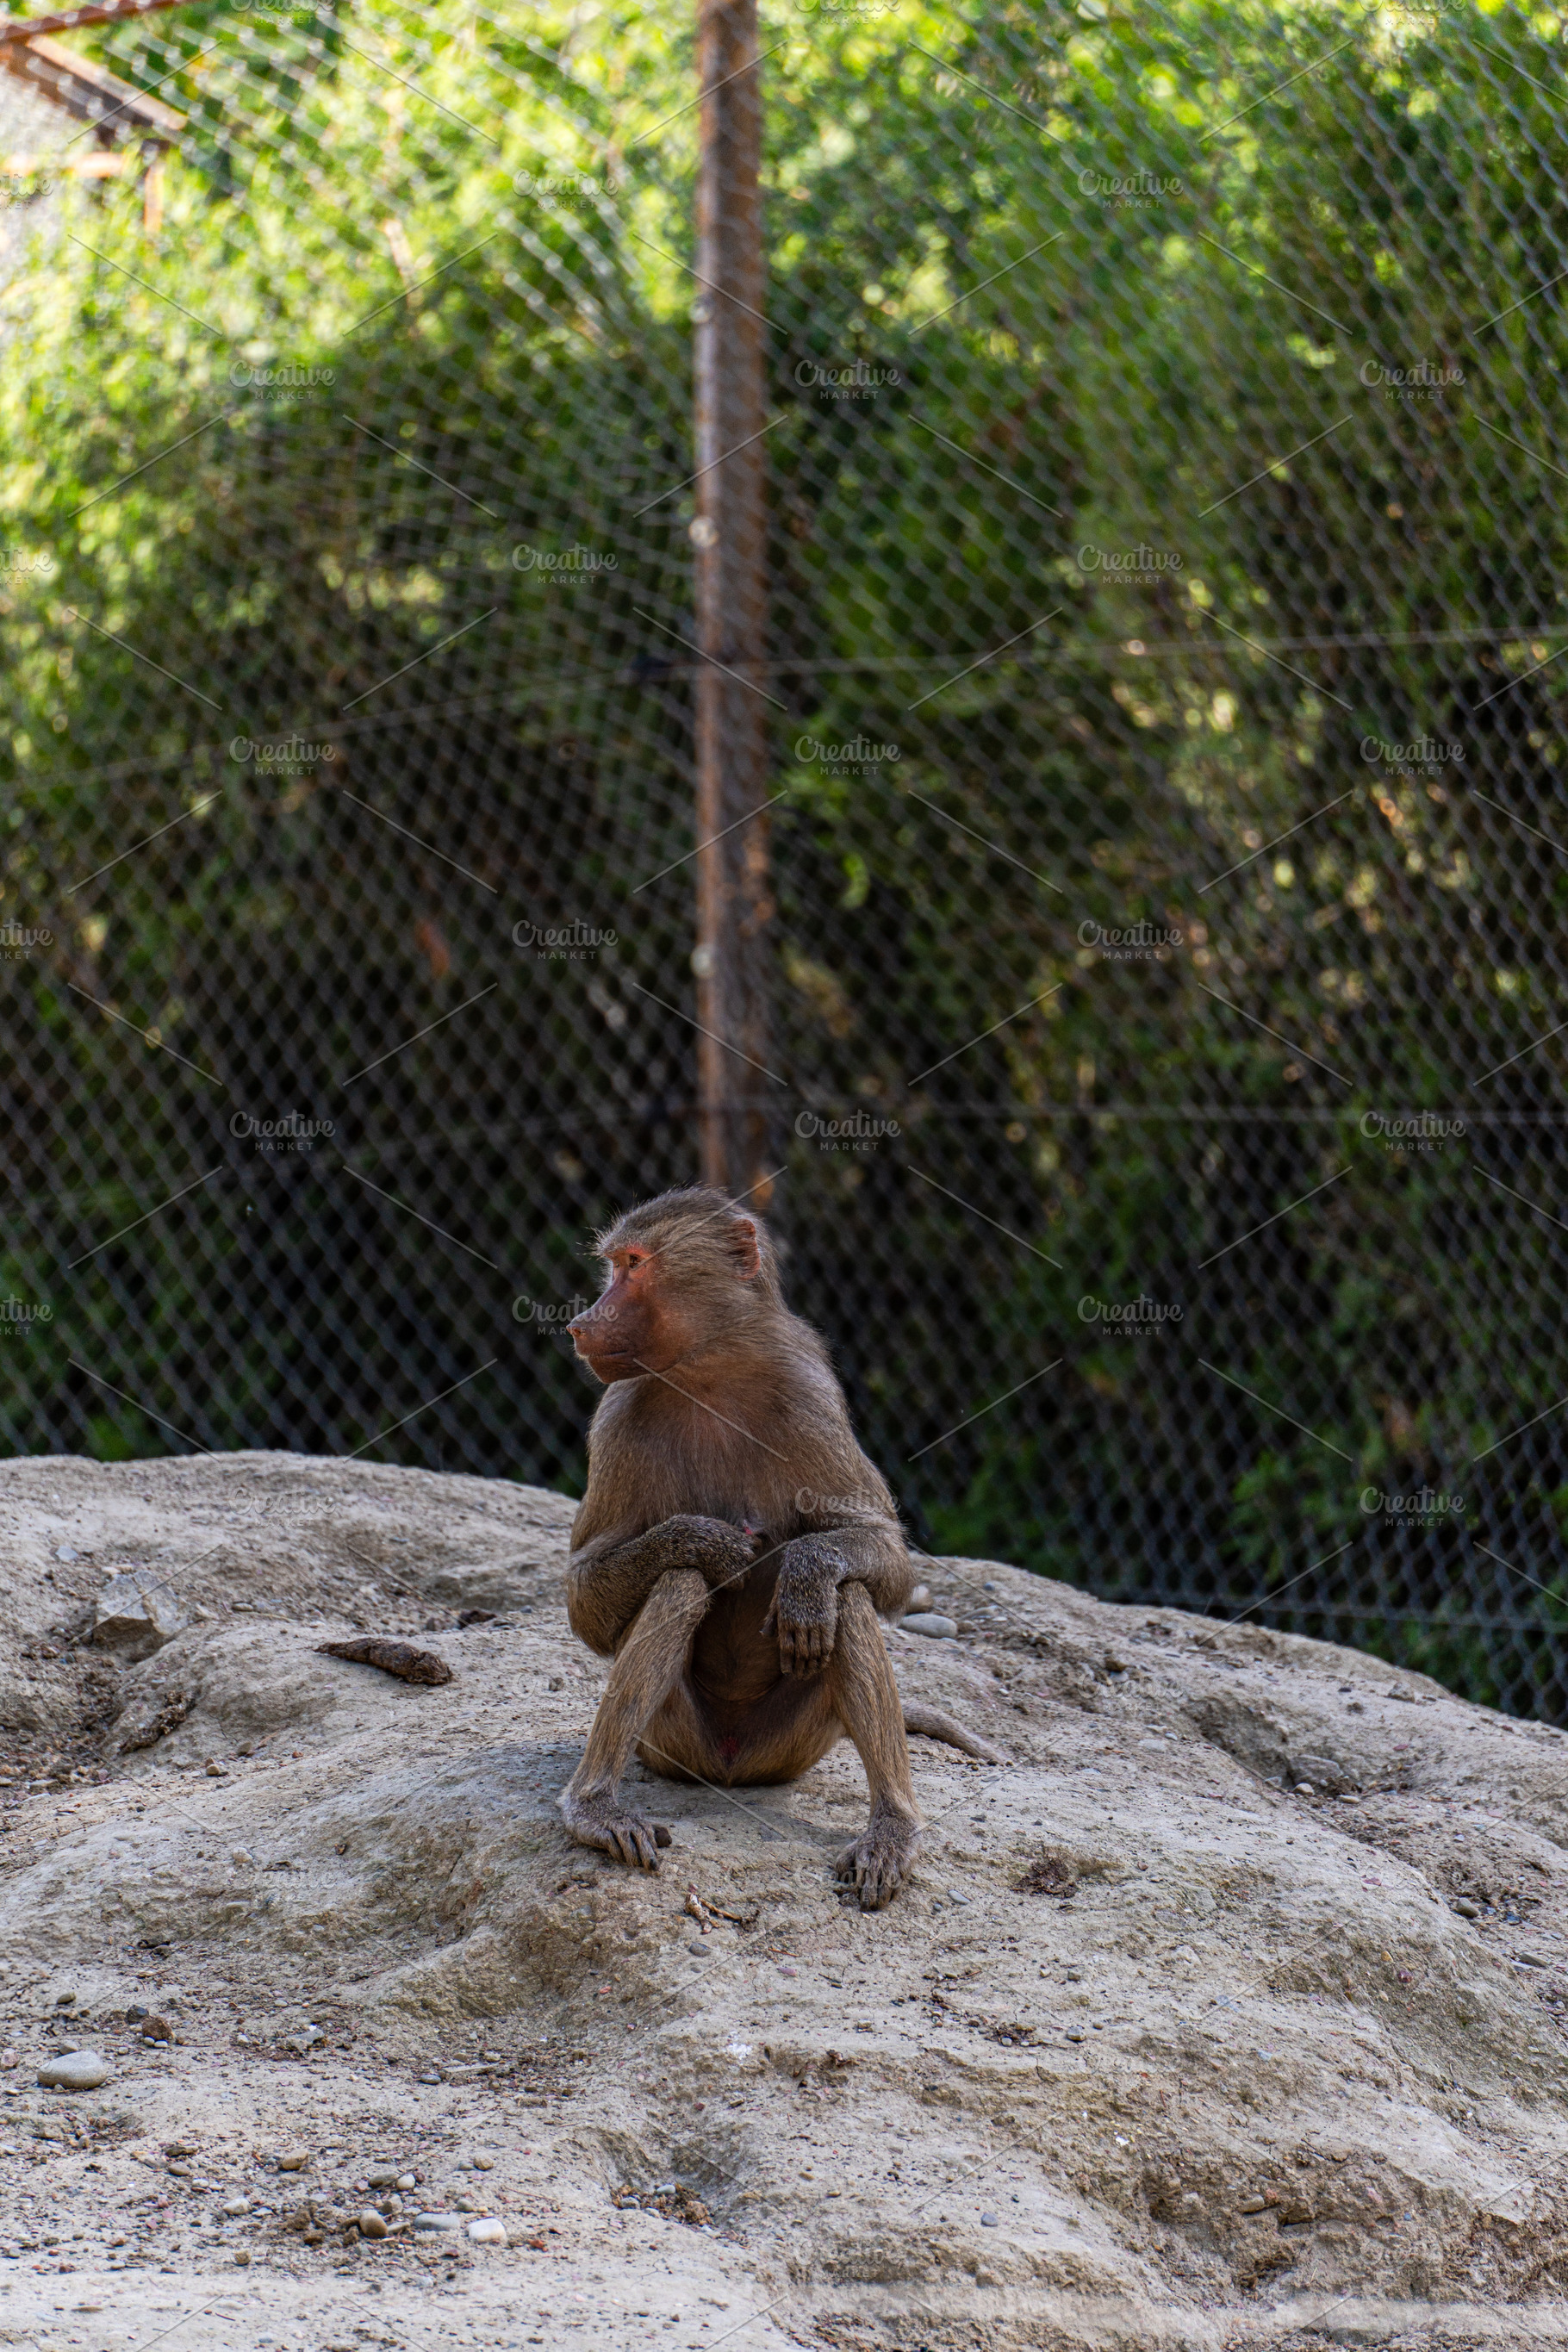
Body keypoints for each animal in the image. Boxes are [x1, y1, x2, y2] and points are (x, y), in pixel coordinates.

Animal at [557, 1185, 1003, 1910]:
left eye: (633, 1264)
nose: (581, 1324)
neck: (708, 1375)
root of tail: (734, 1767)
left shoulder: (807, 1395)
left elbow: (882, 1555)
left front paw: (804, 1573)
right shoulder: (615, 1415)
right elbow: (586, 1597)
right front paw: (708, 1540)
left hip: (796, 1746)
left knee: (849, 1597)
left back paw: (892, 1830)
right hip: (672, 1744)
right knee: (680, 1581)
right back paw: (596, 1810)